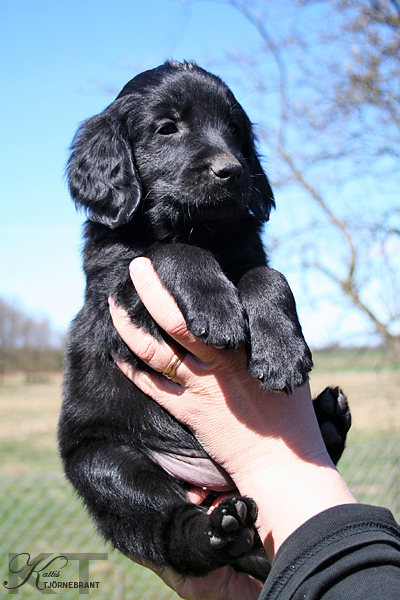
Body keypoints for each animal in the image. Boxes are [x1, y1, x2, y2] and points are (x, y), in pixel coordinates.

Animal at [58, 62, 350, 580]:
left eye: (234, 129)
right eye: (167, 128)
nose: (232, 171)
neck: (201, 228)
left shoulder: (248, 252)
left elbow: (267, 275)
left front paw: (281, 351)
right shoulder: (116, 294)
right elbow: (170, 252)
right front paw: (217, 308)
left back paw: (329, 421)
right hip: (104, 465)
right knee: (172, 532)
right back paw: (220, 532)